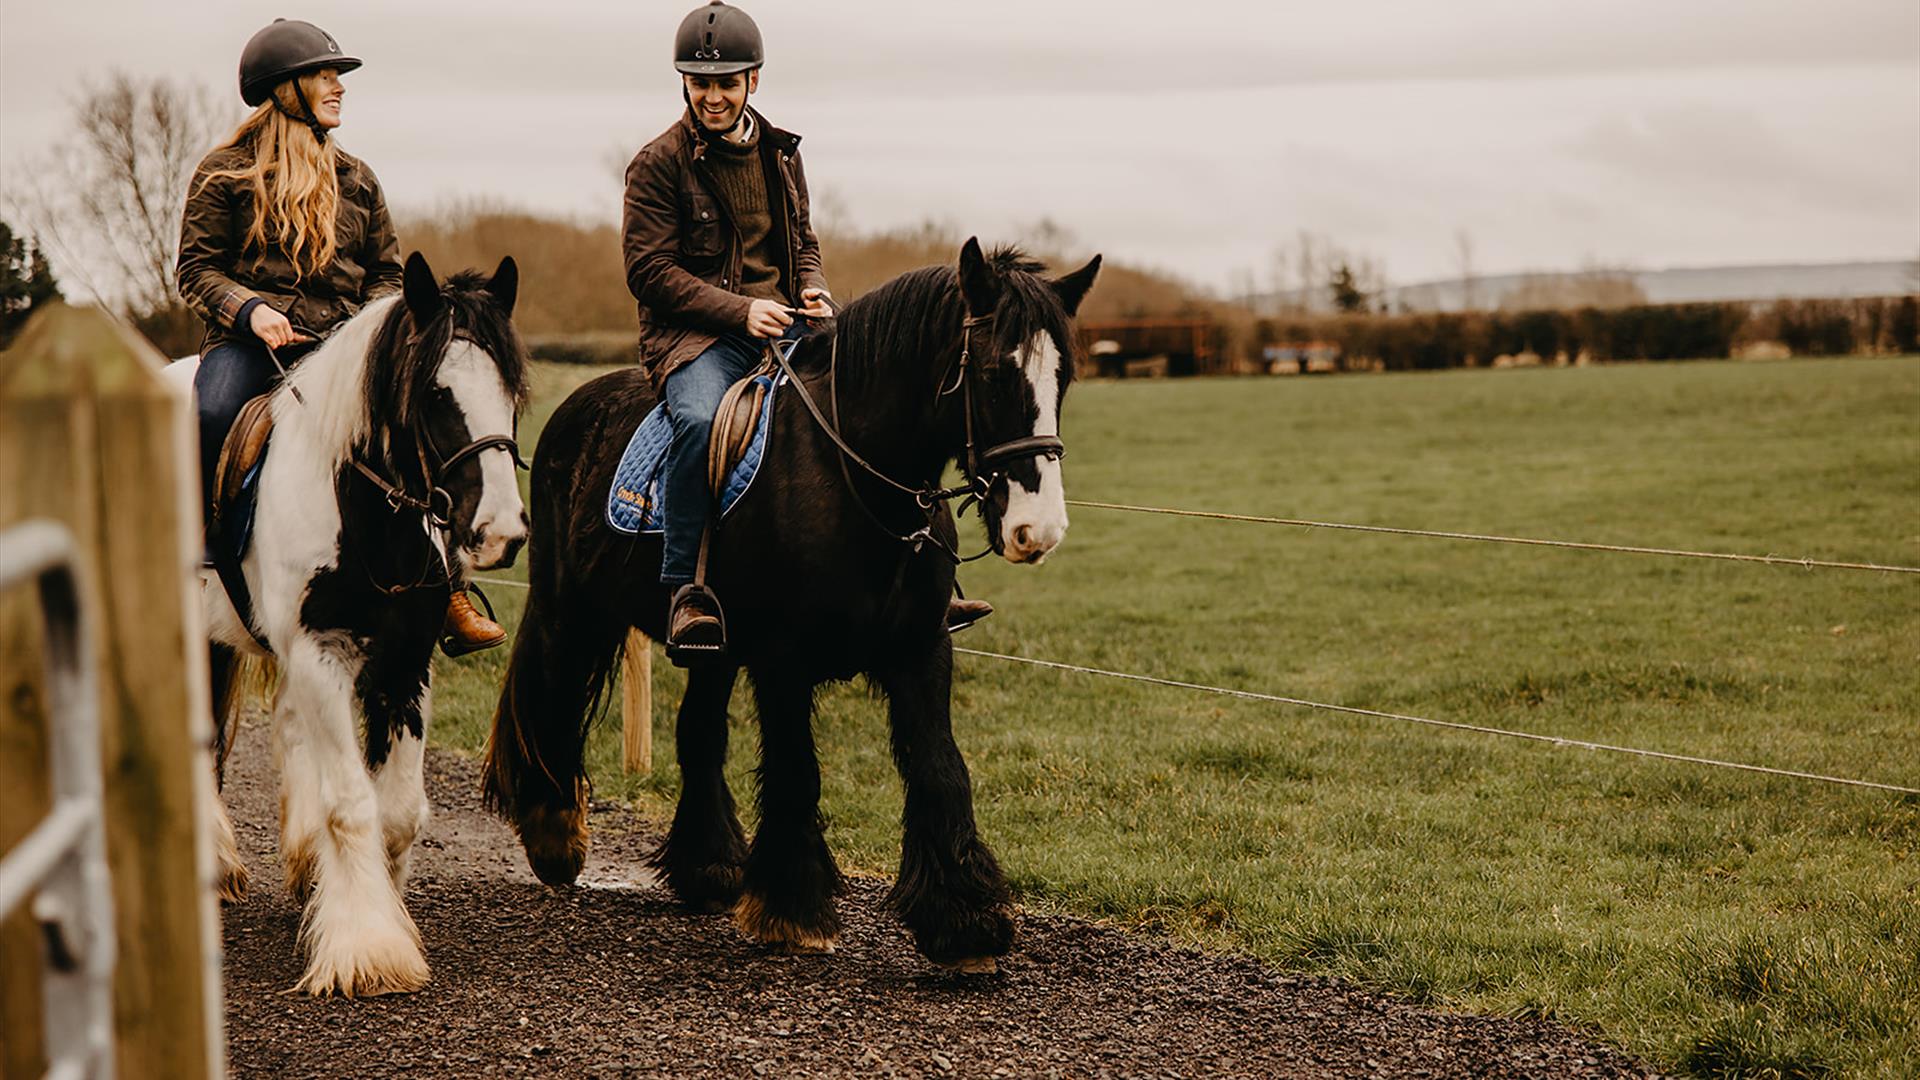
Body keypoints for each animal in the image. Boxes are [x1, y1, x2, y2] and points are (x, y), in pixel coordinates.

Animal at [161, 251, 526, 991]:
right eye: (435, 394)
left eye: (510, 390)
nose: (500, 533)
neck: (361, 513)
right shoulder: (319, 652)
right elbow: (352, 804)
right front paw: (368, 948)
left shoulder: (404, 664)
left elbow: (397, 813)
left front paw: (364, 905)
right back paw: (217, 866)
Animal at [483, 242, 1098, 968]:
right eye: (996, 372)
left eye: (1062, 379)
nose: (1040, 530)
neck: (853, 480)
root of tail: (577, 407)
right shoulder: (782, 661)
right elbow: (797, 773)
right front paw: (792, 910)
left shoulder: (922, 650)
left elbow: (941, 769)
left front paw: (964, 920)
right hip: (568, 605)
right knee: (549, 690)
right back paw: (554, 835)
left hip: (708, 648)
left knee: (697, 733)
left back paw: (709, 868)